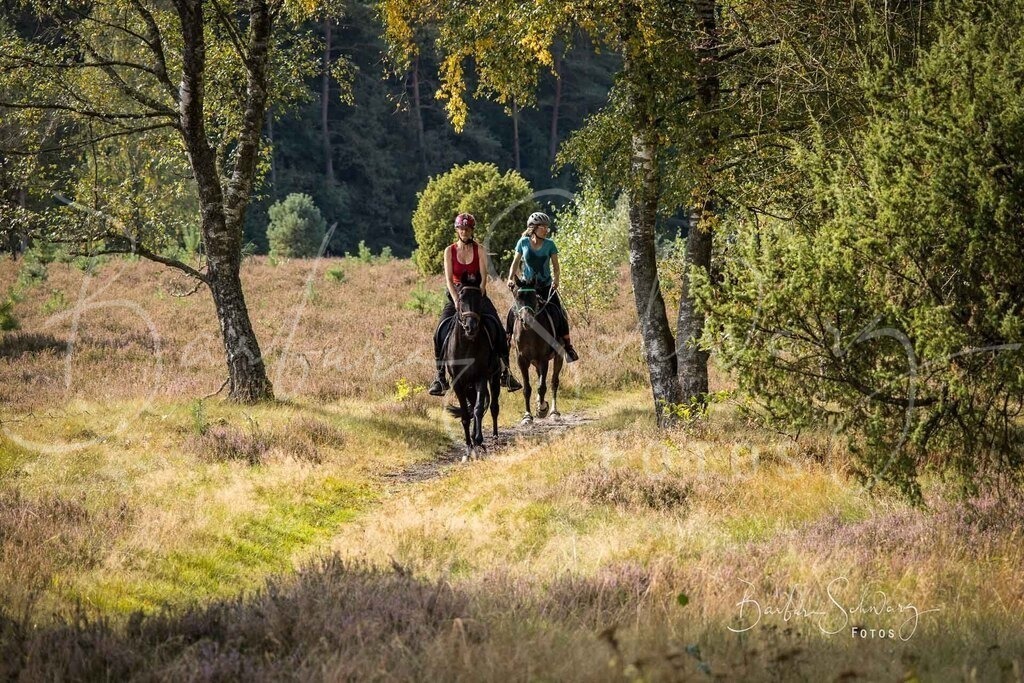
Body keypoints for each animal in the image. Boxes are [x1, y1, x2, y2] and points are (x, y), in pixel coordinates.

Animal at [442, 283, 501, 461]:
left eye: (479, 300)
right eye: (461, 300)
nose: (471, 327)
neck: (467, 346)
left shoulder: (480, 377)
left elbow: (478, 409)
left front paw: (479, 441)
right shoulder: (458, 383)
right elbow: (466, 415)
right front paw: (469, 448)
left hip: (494, 378)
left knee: (494, 407)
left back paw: (495, 439)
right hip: (469, 387)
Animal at [509, 276, 564, 424]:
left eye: (533, 297)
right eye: (517, 297)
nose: (527, 320)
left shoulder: (543, 359)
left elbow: (542, 387)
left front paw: (542, 409)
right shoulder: (522, 360)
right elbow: (527, 388)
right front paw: (527, 416)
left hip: (558, 356)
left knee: (554, 382)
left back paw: (553, 412)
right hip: (534, 362)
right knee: (540, 376)